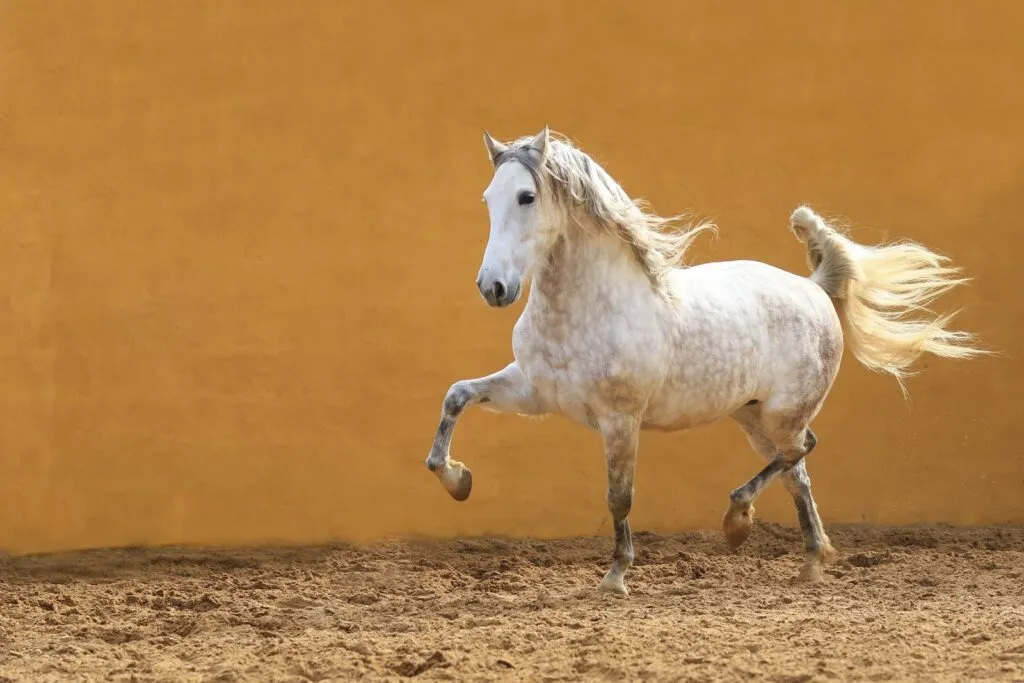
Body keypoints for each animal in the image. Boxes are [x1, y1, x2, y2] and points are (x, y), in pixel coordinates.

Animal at [425, 129, 983, 598]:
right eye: (488, 198)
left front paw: (615, 578)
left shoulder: (620, 418)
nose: (494, 288)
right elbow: (456, 395)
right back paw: (809, 562)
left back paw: (739, 521)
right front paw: (457, 480)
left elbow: (619, 496)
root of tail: (815, 288)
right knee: (797, 472)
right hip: (752, 416)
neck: (589, 307)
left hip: (783, 412)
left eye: (527, 196)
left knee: (802, 450)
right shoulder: (534, 393)